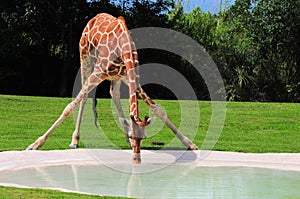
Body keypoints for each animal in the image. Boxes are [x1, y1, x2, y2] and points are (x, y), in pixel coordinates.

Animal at [27, 13, 198, 164]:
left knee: (114, 95)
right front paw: (35, 144)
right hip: (85, 57)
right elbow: (69, 107)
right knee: (84, 96)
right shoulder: (98, 71)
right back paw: (75, 140)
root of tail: (94, 18)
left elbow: (158, 109)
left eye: (143, 138)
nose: (136, 158)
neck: (124, 47)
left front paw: (190, 144)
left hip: (116, 77)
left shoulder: (131, 76)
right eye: (134, 137)